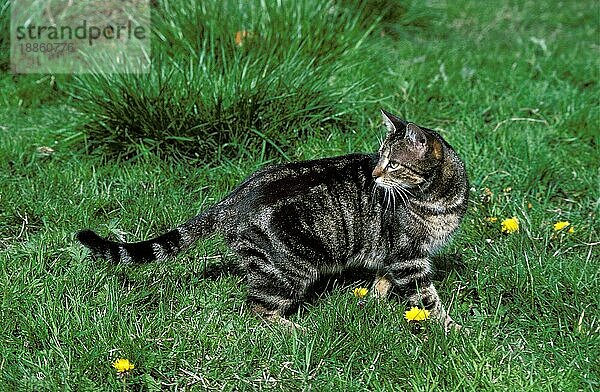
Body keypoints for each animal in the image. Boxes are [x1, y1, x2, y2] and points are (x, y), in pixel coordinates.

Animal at [77, 110, 468, 330]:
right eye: (380, 159)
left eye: (393, 163)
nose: (373, 174)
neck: (437, 198)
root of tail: (231, 198)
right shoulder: (408, 259)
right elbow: (428, 301)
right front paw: (453, 331)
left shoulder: (395, 258)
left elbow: (382, 284)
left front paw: (373, 304)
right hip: (288, 269)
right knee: (255, 307)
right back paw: (294, 330)